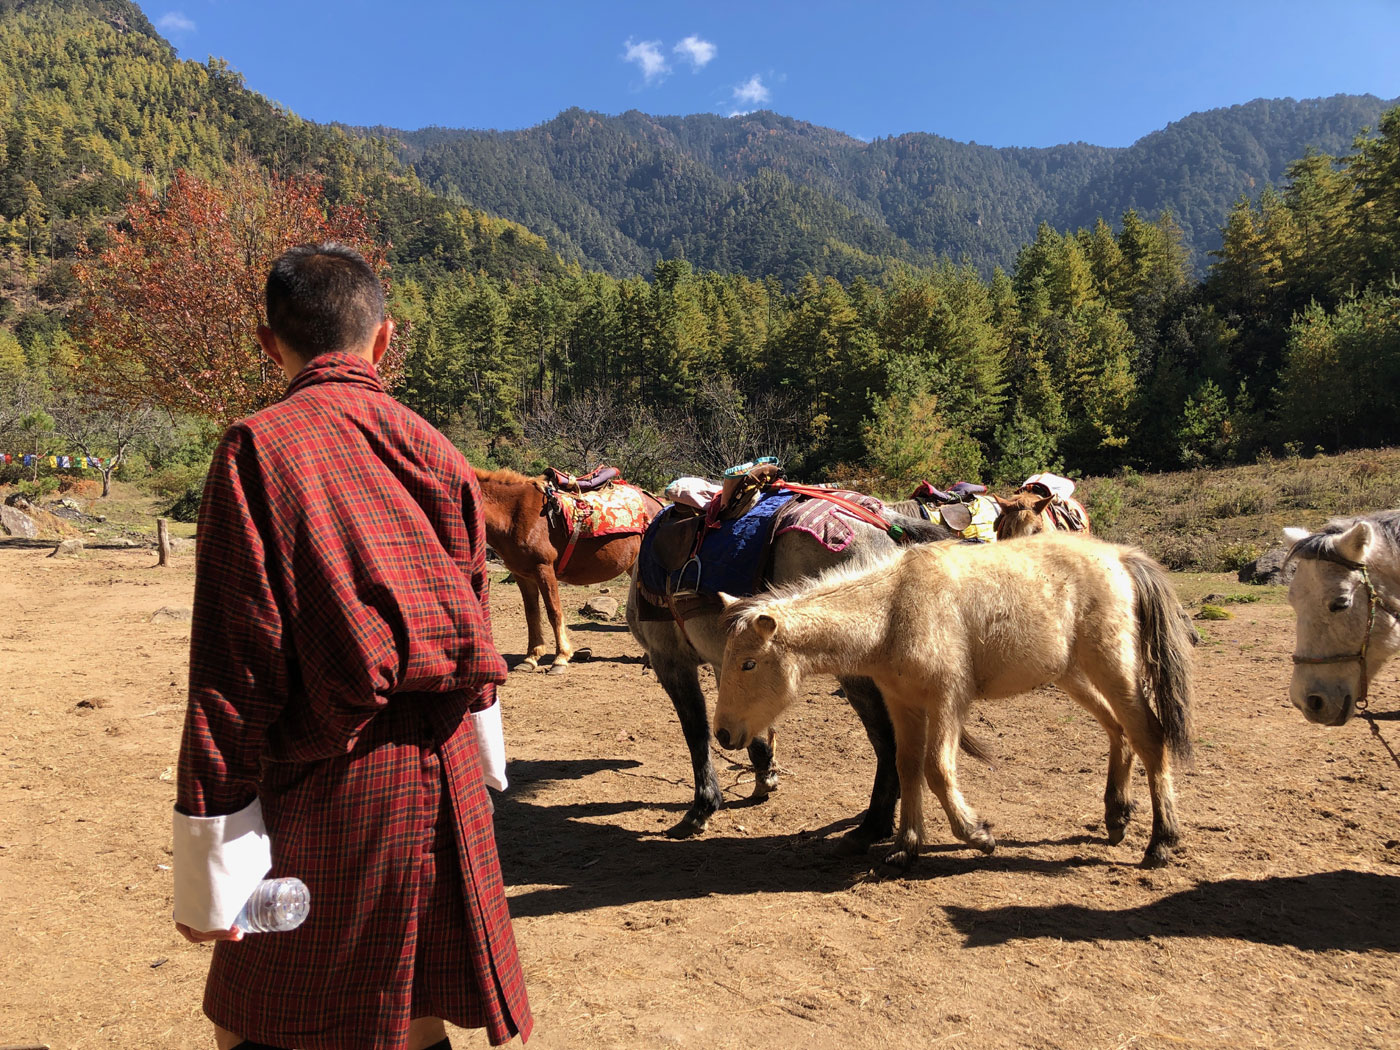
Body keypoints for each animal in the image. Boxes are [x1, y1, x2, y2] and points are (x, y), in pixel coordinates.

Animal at [473, 467, 663, 674]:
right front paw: (531, 658)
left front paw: (561, 658)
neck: (512, 513)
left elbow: (554, 612)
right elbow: (531, 614)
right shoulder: (522, 575)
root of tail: (660, 504)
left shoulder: (543, 568)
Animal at [627, 509, 963, 856]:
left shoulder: (669, 660)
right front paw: (765, 775)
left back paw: (872, 827)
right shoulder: (728, 662)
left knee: (887, 742)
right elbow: (741, 723)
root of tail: (887, 524)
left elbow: (696, 732)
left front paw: (702, 808)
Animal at [722, 534, 1192, 873]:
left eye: (749, 663)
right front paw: (906, 846)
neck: (895, 610)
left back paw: (1161, 842)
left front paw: (977, 834)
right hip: (1072, 675)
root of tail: (1121, 556)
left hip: (1112, 668)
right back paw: (1117, 817)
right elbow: (907, 766)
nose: (724, 734)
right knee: (1119, 731)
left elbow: (936, 769)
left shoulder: (948, 700)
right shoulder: (904, 704)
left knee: (1149, 736)